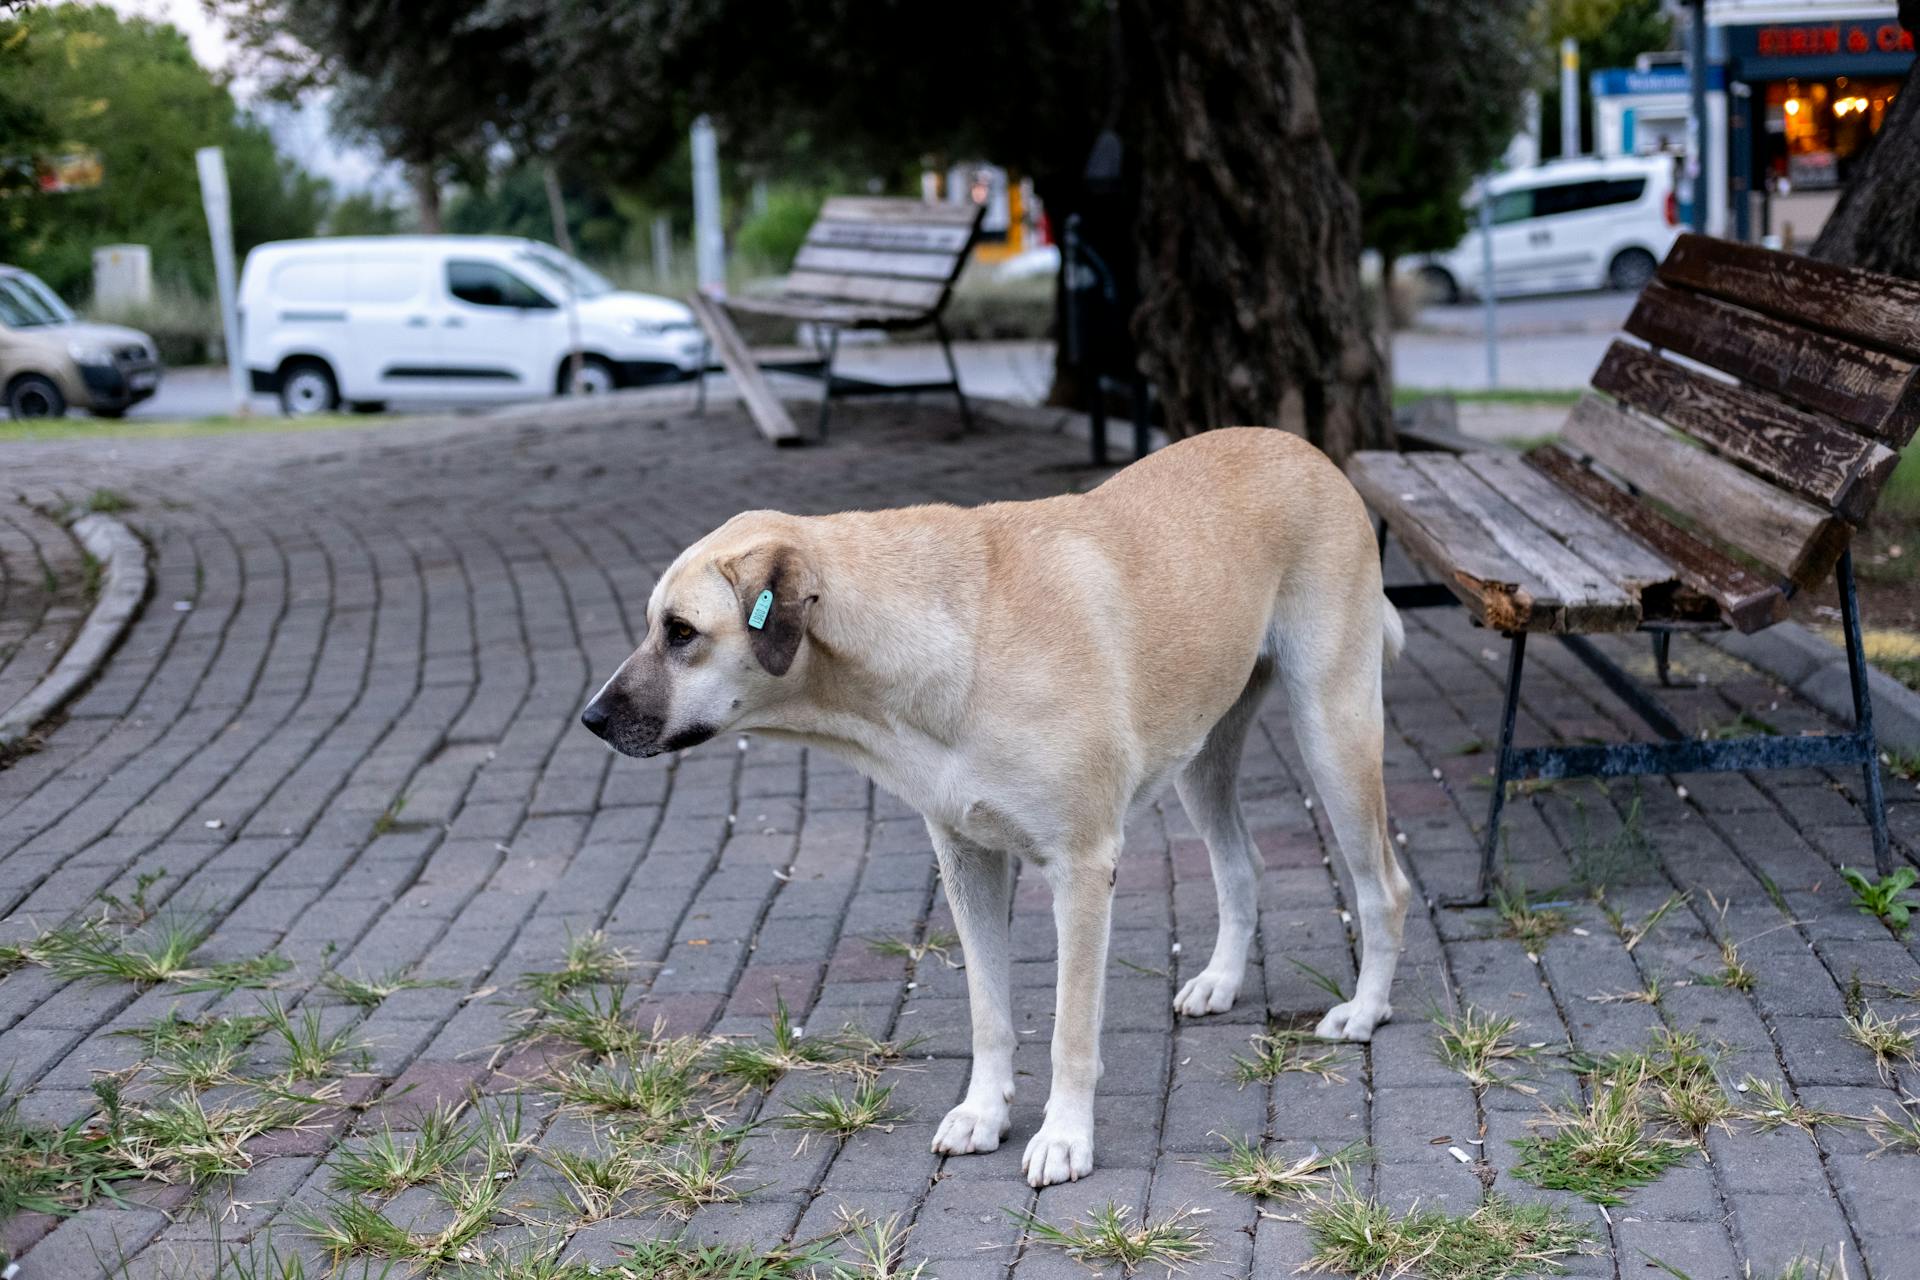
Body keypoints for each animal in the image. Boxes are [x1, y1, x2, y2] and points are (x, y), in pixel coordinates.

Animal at [579, 426, 1413, 1189]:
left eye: (680, 632)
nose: (590, 718)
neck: (954, 639)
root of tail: (1302, 447)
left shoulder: (1082, 871)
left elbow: (1071, 1031)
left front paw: (1065, 1137)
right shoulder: (967, 859)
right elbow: (989, 1011)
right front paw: (984, 1112)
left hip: (1332, 731)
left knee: (1385, 888)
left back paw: (1366, 1010)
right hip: (1203, 758)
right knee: (1242, 866)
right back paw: (1223, 980)